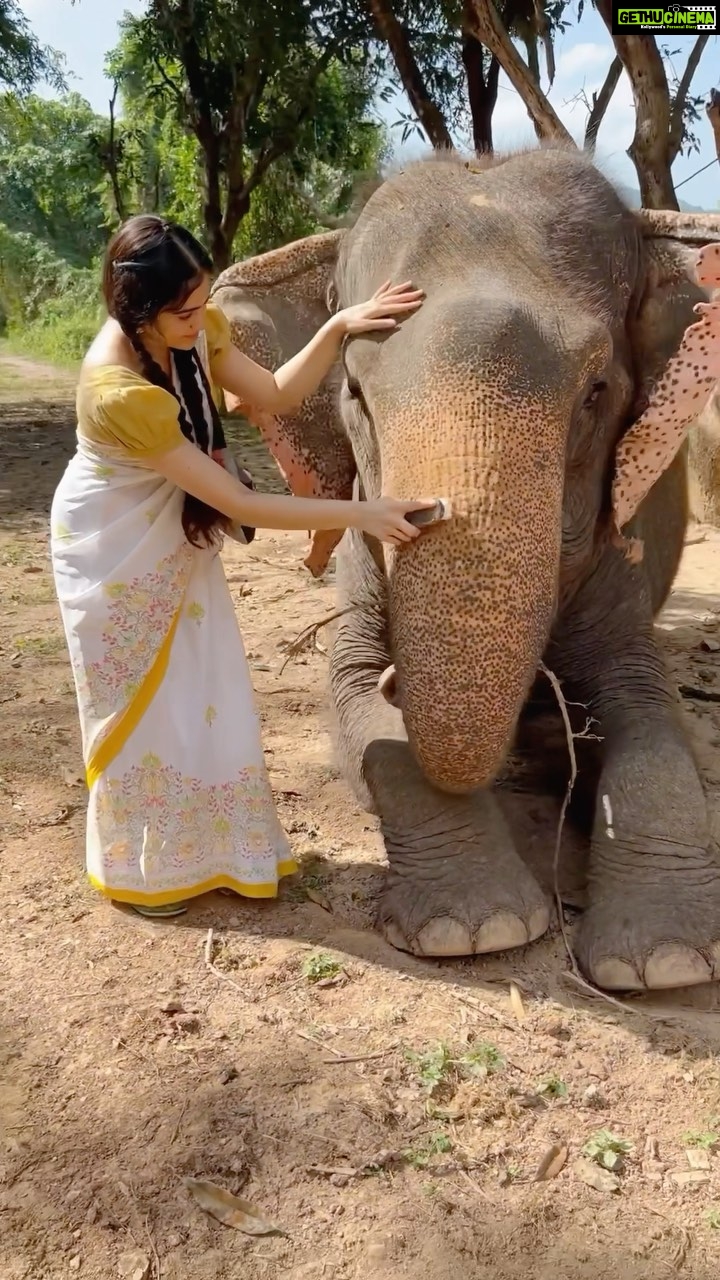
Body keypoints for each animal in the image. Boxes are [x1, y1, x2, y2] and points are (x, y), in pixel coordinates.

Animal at [211, 147, 720, 993]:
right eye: (354, 393)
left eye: (596, 392)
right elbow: (359, 700)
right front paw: (474, 929)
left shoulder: (618, 556)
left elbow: (651, 718)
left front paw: (667, 961)